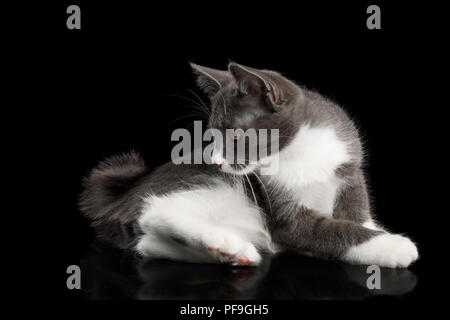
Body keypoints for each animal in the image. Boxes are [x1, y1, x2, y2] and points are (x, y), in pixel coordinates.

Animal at [79, 62, 420, 268]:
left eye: (233, 134)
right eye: (212, 135)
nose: (216, 162)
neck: (297, 149)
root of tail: (125, 192)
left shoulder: (349, 166)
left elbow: (356, 210)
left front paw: (375, 230)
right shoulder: (282, 211)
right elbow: (327, 230)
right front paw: (392, 245)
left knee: (147, 242)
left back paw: (231, 250)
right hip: (210, 187)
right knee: (154, 213)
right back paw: (222, 242)